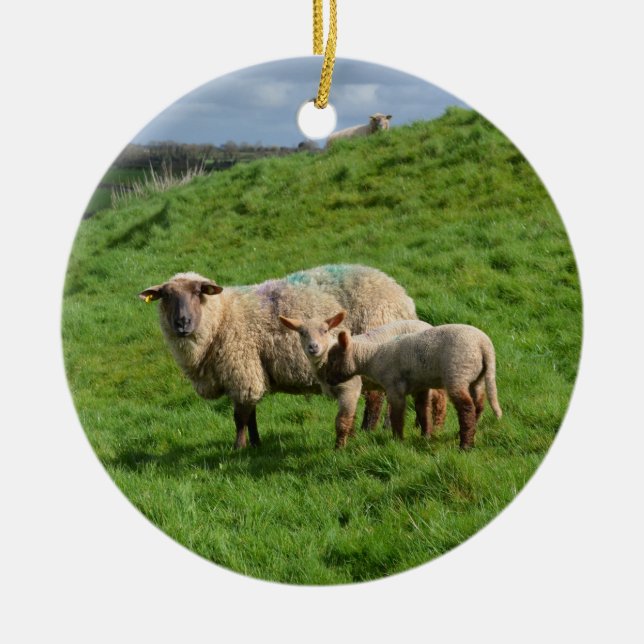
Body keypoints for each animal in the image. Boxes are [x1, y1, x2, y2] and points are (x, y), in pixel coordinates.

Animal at [139, 264, 417, 449]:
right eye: (166, 296)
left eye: (199, 292)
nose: (182, 323)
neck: (222, 317)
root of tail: (402, 295)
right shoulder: (250, 372)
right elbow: (250, 414)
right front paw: (256, 444)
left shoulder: (243, 370)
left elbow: (240, 417)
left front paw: (238, 448)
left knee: (376, 397)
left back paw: (369, 430)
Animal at [279, 312, 447, 432]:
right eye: (302, 333)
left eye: (325, 331)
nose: (313, 347)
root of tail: (428, 324)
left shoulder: (350, 386)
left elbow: (343, 419)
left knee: (439, 396)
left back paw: (436, 426)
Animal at [324, 324, 502, 449]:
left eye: (333, 360)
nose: (328, 380)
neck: (373, 358)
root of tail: (484, 345)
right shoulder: (420, 387)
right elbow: (423, 410)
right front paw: (425, 436)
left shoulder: (394, 388)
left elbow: (397, 416)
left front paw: (397, 440)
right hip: (476, 378)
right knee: (478, 405)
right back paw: (469, 433)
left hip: (458, 373)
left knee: (466, 408)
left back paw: (465, 445)